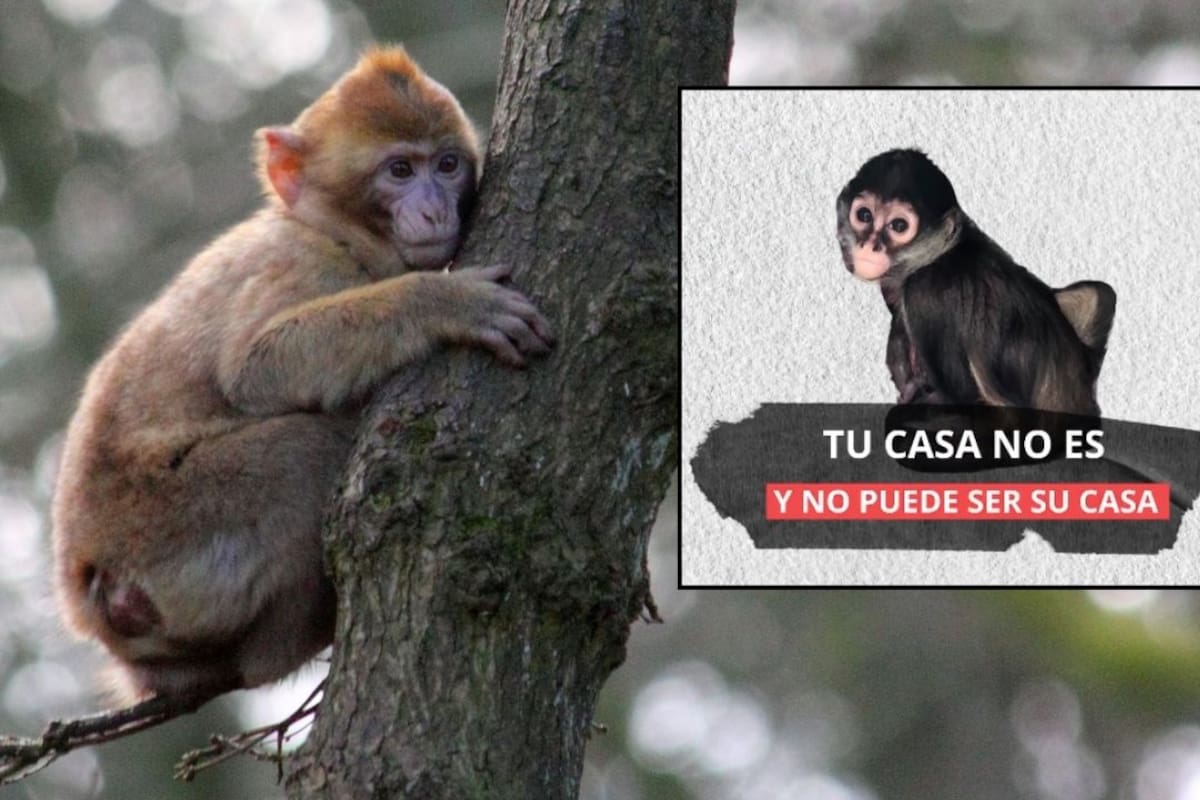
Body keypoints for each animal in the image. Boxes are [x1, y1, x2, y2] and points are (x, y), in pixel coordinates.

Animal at [50, 46, 555, 703]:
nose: (434, 207)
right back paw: (291, 640)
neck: (332, 232)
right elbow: (255, 368)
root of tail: (89, 594)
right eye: (399, 170)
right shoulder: (302, 266)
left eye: (446, 165)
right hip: (168, 527)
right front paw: (445, 303)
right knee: (307, 450)